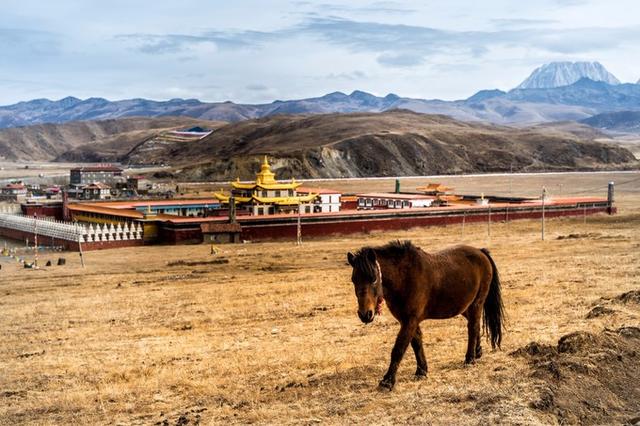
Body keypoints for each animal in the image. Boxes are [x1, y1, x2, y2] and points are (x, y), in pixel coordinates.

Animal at [348, 240, 502, 390]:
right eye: (354, 280)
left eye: (373, 279)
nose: (365, 314)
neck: (405, 277)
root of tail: (480, 252)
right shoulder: (408, 320)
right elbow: (416, 343)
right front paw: (421, 371)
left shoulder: (410, 320)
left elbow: (399, 348)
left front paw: (387, 381)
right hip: (465, 307)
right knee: (474, 325)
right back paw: (477, 352)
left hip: (476, 303)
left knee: (473, 327)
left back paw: (470, 359)